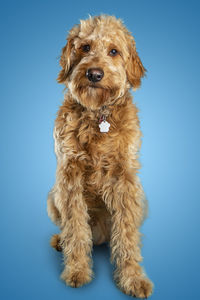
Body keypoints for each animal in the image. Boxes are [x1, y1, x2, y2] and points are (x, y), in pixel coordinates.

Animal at [47, 14, 154, 298]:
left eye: (114, 51)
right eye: (85, 47)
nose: (94, 73)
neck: (98, 114)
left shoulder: (125, 180)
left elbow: (127, 233)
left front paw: (133, 278)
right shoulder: (69, 177)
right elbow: (75, 229)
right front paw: (77, 271)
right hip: (53, 198)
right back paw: (60, 241)